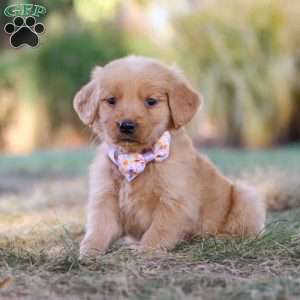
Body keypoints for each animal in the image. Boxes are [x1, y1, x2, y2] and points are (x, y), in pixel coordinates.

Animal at [74, 56, 266, 258]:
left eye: (151, 101)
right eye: (111, 100)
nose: (126, 125)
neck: (136, 158)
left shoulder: (175, 201)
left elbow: (159, 230)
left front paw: (146, 250)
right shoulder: (105, 198)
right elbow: (99, 228)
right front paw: (89, 251)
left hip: (246, 197)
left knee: (246, 232)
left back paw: (219, 238)